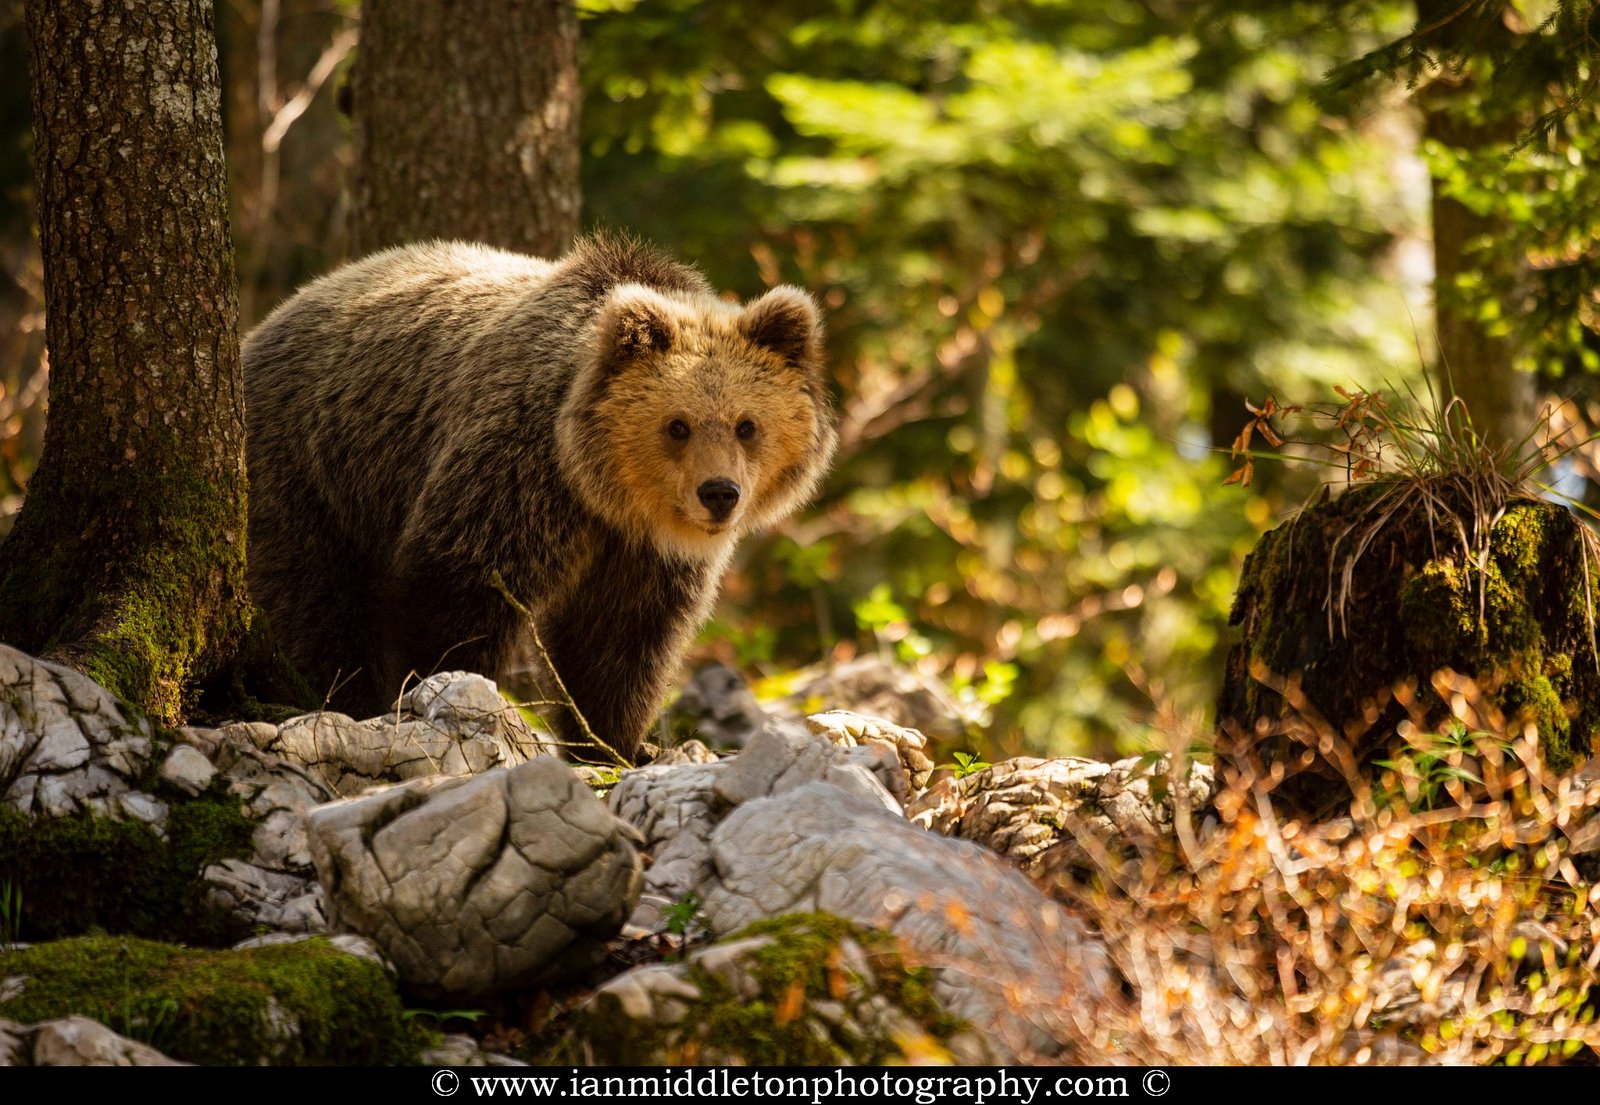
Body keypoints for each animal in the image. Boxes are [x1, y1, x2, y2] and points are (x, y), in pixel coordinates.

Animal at [244, 233, 844, 761]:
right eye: (678, 425)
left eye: (747, 425)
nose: (719, 493)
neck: (602, 491)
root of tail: (265, 324)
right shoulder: (515, 472)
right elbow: (455, 588)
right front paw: (436, 697)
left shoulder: (642, 553)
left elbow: (617, 641)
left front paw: (616, 744)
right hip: (310, 469)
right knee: (312, 600)